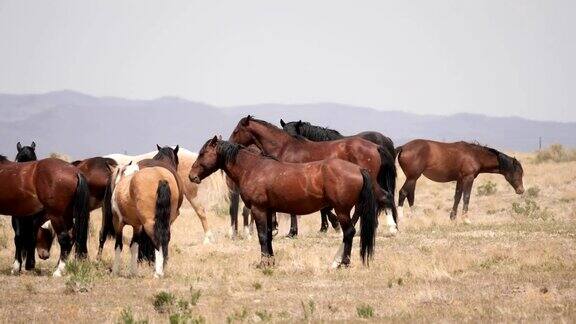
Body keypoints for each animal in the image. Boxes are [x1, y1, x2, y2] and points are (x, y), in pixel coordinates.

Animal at [106, 146, 181, 278]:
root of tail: (161, 177)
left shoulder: (118, 223)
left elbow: (118, 246)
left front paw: (115, 271)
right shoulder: (137, 226)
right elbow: (134, 246)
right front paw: (133, 272)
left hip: (150, 224)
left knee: (157, 242)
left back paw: (158, 273)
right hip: (166, 222)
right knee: (165, 240)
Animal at [189, 137, 382, 268]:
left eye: (202, 153)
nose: (192, 176)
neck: (253, 168)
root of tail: (358, 169)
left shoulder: (258, 209)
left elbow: (262, 236)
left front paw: (263, 263)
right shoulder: (268, 211)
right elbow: (268, 235)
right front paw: (271, 261)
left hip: (342, 210)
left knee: (349, 232)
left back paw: (343, 263)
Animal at [396, 139, 528, 223]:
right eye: (518, 172)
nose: (521, 190)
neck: (475, 155)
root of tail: (403, 147)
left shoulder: (460, 180)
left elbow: (457, 197)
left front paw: (453, 218)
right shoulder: (468, 178)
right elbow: (466, 197)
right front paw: (466, 219)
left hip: (413, 178)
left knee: (410, 195)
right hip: (412, 178)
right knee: (403, 192)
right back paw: (400, 218)